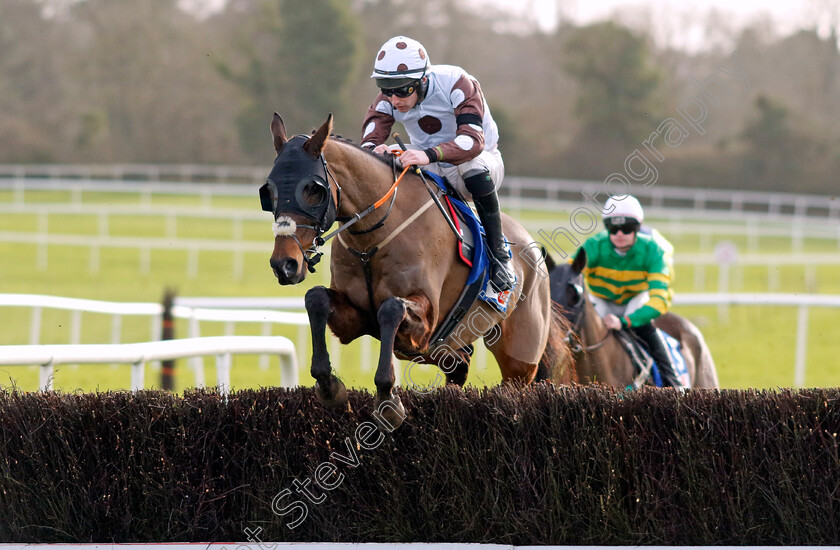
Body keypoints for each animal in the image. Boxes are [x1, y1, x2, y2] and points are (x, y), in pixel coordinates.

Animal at [262, 114, 576, 430]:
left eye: (314, 189)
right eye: (269, 191)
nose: (284, 264)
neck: (372, 241)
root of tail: (534, 250)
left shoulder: (426, 321)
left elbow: (391, 308)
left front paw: (388, 401)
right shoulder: (356, 318)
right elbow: (316, 299)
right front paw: (330, 388)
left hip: (519, 358)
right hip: (447, 349)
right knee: (459, 367)